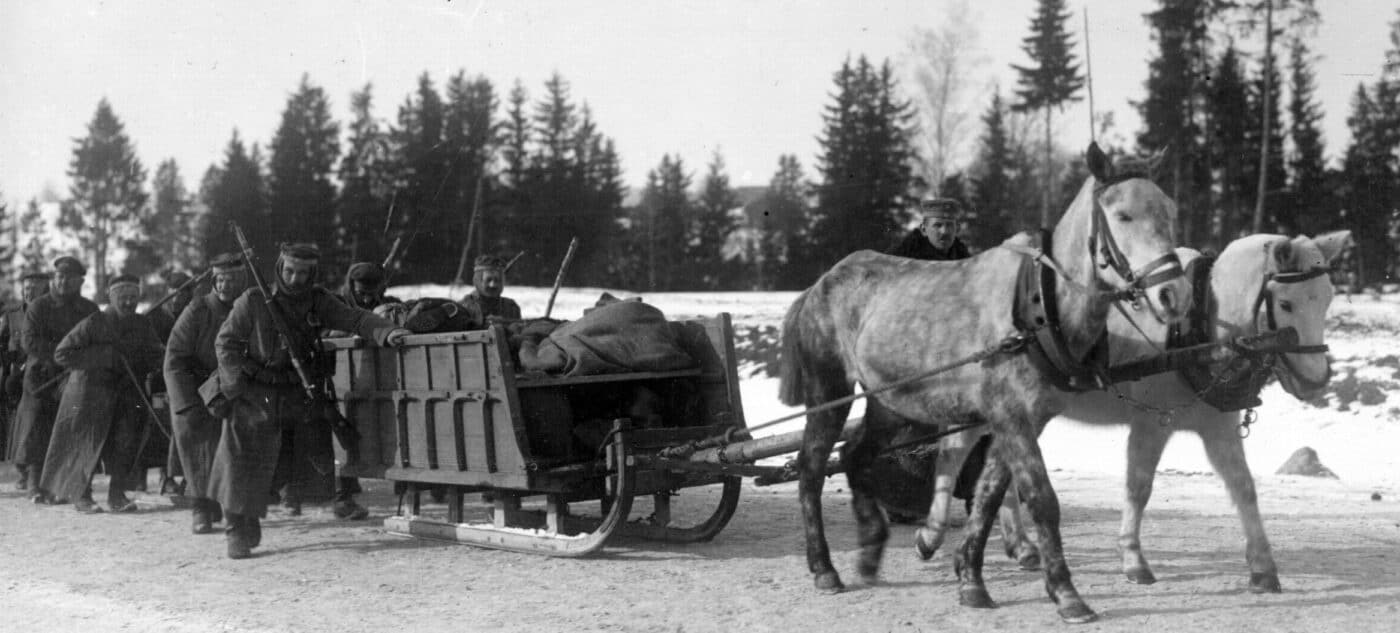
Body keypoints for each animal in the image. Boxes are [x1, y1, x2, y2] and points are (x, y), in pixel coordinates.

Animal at [778, 143, 1192, 621]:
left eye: (1171, 211)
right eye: (1123, 215)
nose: (1175, 295)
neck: (1038, 303)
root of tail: (818, 285)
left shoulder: (1023, 419)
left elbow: (989, 495)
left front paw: (971, 579)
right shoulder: (1011, 415)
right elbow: (1040, 498)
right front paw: (1065, 592)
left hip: (892, 403)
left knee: (855, 454)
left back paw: (870, 549)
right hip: (829, 391)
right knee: (812, 467)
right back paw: (823, 566)